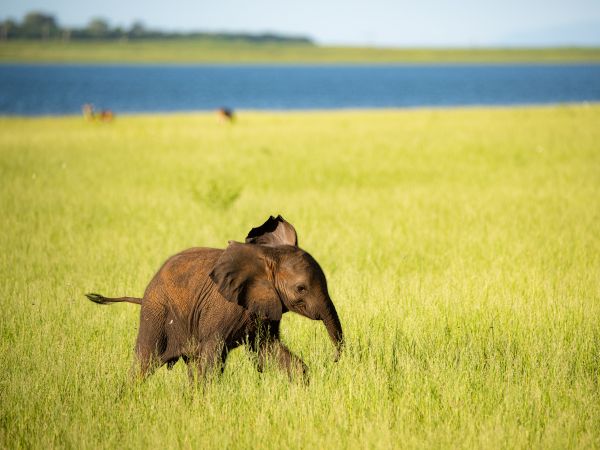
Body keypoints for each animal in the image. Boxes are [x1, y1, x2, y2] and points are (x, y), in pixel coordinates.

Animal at [86, 216, 344, 382]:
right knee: (144, 363)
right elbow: (212, 357)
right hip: (156, 312)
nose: (334, 360)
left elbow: (268, 350)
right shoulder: (223, 308)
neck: (266, 258)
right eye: (301, 289)